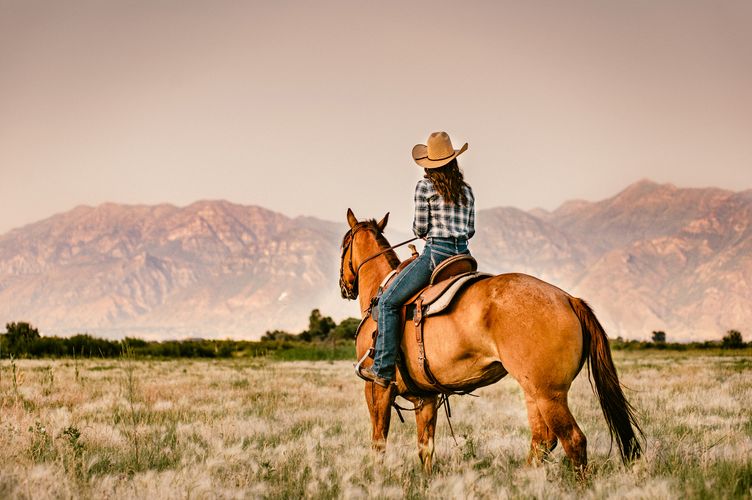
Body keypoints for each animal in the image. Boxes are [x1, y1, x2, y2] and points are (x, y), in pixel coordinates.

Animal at [340, 209, 640, 474]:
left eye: (343, 244)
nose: (345, 287)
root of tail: (568, 298)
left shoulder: (376, 389)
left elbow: (379, 442)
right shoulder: (426, 397)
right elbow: (426, 448)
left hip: (550, 394)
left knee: (573, 440)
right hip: (533, 392)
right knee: (542, 440)